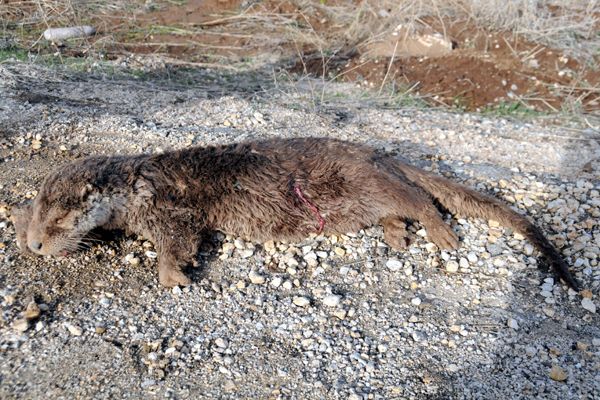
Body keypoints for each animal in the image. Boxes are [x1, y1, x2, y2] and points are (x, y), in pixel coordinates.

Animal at [15, 137, 576, 288]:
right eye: (35, 219)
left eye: (58, 221)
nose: (34, 246)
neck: (137, 187)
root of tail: (377, 153)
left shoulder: (171, 211)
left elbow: (180, 240)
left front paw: (174, 274)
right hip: (362, 199)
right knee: (395, 211)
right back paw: (397, 236)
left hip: (372, 181)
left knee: (421, 200)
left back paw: (443, 235)